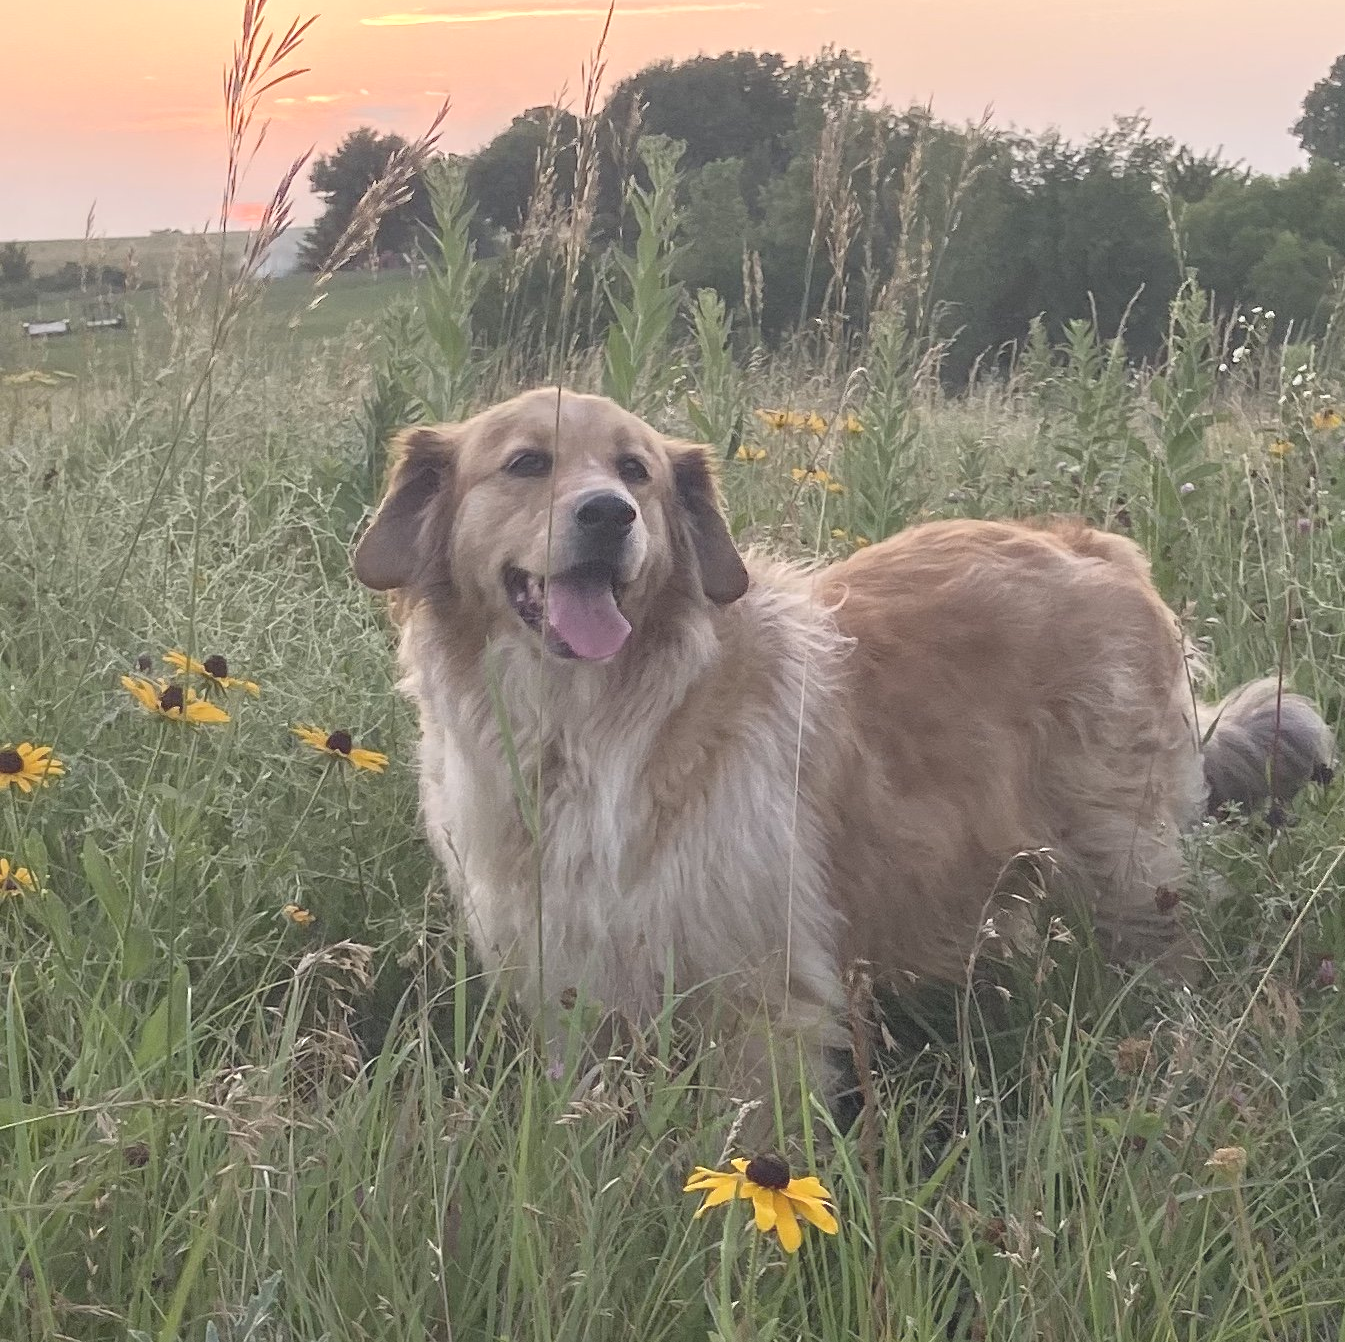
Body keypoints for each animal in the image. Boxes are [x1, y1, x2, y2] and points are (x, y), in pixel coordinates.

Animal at [353, 387, 1336, 1106]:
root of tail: (1092, 544)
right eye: (526, 462)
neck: (585, 730)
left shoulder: (764, 999)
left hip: (1124, 869)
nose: (609, 513)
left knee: (1165, 961)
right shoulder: (573, 995)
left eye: (635, 470)